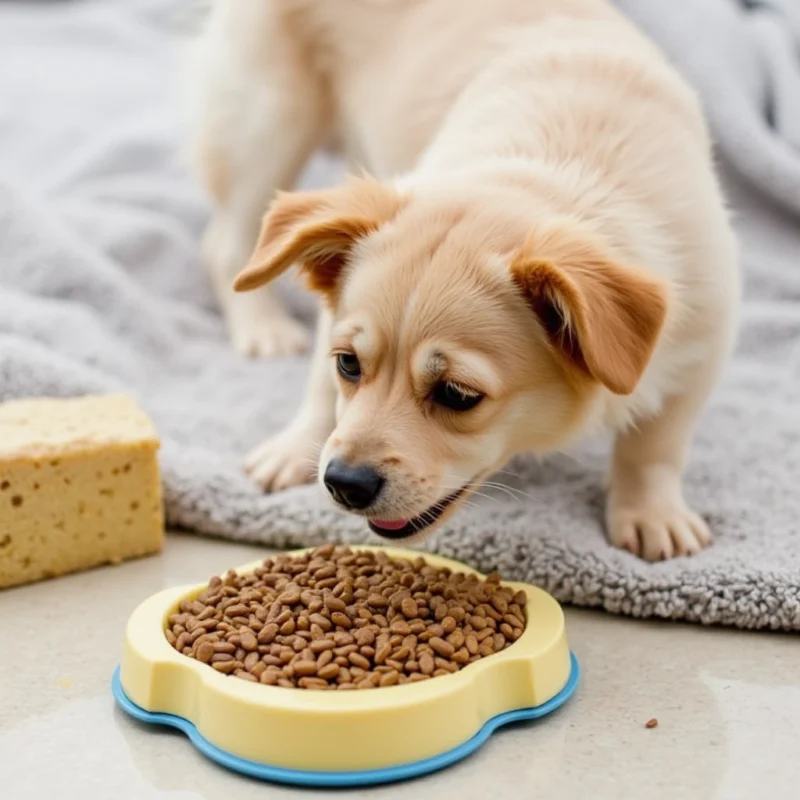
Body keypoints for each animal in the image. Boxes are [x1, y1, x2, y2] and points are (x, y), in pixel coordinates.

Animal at [192, 0, 736, 560]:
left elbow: (656, 443)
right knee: (229, 243)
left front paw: (651, 511)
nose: (342, 483)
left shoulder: (703, 342)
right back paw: (262, 326)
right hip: (268, 118)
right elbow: (322, 393)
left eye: (457, 394)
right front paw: (295, 446)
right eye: (349, 364)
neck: (557, 169)